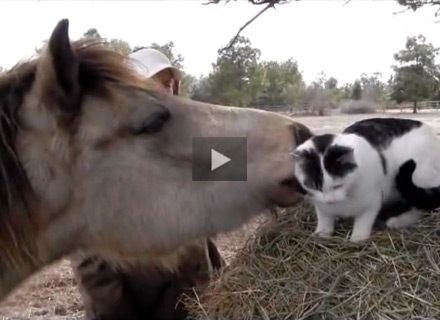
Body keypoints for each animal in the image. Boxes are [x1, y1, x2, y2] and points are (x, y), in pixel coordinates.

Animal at [290, 117, 440, 242]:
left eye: (338, 185)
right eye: (315, 186)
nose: (330, 201)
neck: (346, 197)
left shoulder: (372, 203)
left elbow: (363, 221)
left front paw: (358, 238)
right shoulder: (320, 203)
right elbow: (324, 217)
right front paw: (322, 233)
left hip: (420, 175)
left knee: (420, 204)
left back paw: (398, 221)